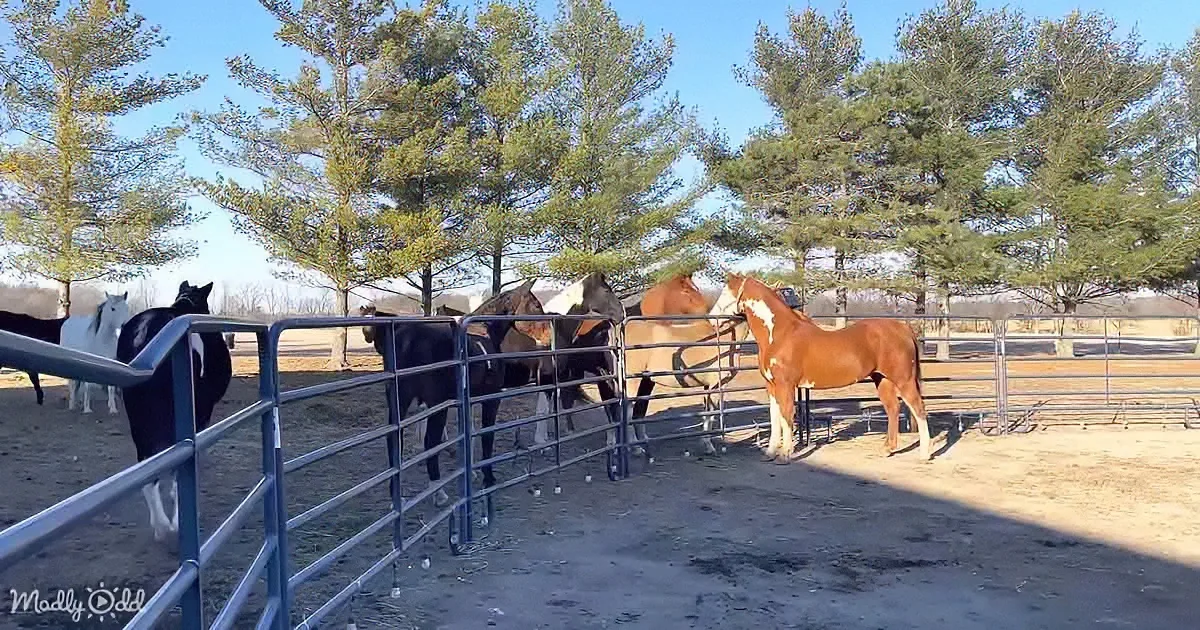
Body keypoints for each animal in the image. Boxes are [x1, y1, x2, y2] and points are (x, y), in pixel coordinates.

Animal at [711, 273, 931, 463]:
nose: (712, 318)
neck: (779, 334)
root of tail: (903, 328)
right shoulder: (771, 386)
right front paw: (770, 452)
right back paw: (887, 449)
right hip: (882, 379)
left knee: (919, 409)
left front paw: (785, 454)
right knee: (893, 409)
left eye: (726, 292)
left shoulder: (785, 385)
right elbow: (775, 418)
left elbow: (786, 416)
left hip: (904, 380)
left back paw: (924, 454)